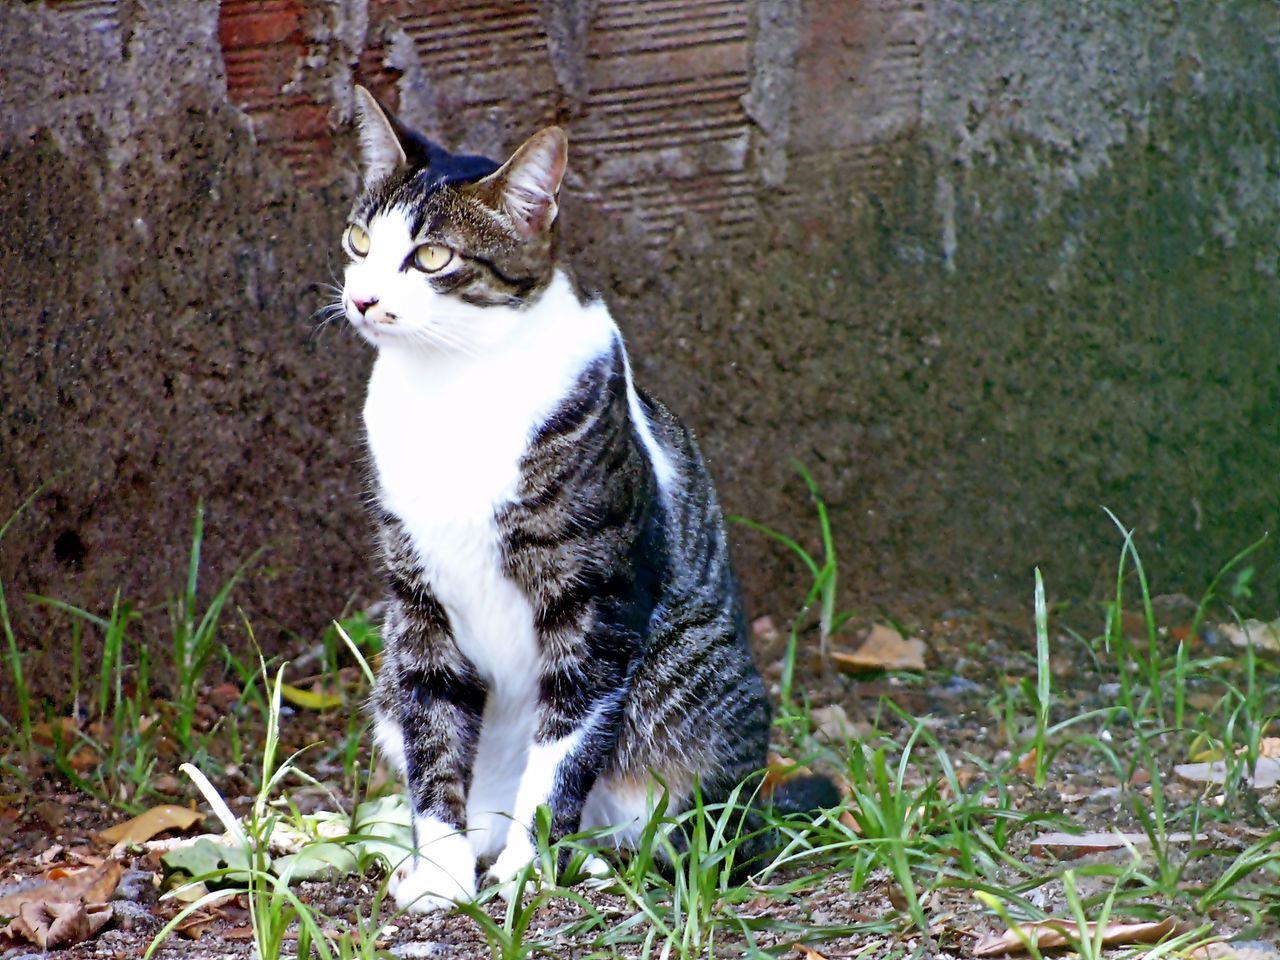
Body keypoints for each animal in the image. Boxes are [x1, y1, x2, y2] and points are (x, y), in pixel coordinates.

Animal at [340, 88, 824, 916]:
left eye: (432, 257)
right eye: (360, 240)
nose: (362, 297)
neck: (449, 387)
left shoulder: (599, 602)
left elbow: (563, 752)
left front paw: (527, 874)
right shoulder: (418, 604)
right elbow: (434, 737)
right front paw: (441, 873)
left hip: (685, 725)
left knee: (681, 832)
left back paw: (595, 858)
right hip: (387, 678)